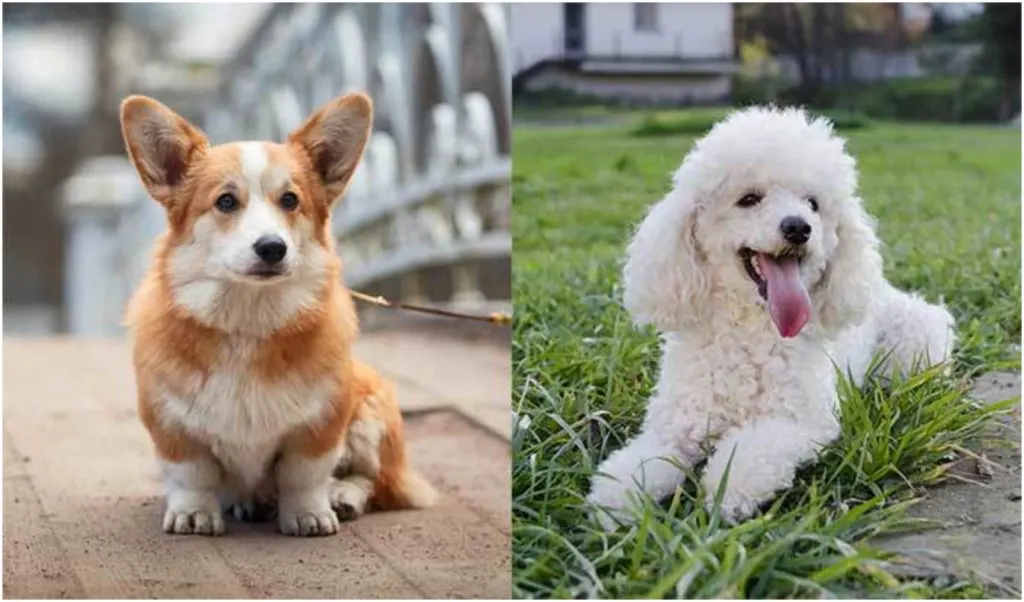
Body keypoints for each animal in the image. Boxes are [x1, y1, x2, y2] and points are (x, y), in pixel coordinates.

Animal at [118, 90, 436, 536]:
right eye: (226, 201)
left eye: (290, 200)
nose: (272, 248)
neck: (248, 320)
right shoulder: (171, 424)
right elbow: (192, 475)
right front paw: (194, 513)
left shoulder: (321, 423)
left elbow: (303, 475)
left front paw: (308, 513)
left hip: (373, 407)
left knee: (373, 481)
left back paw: (341, 496)